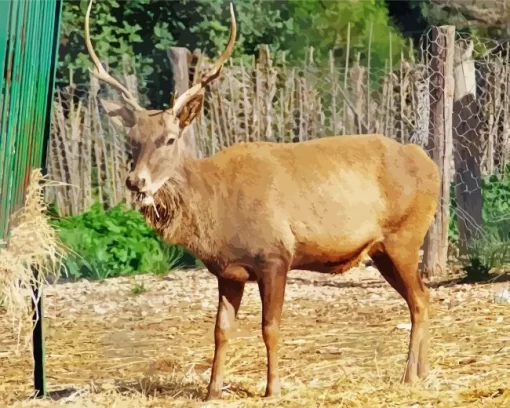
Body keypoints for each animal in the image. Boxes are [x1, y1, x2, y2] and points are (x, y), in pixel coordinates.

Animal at [84, 0, 442, 402]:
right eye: (132, 140)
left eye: (170, 139)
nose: (136, 181)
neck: (216, 212)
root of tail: (430, 165)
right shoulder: (227, 271)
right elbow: (220, 330)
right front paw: (212, 391)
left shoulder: (275, 255)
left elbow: (270, 327)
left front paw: (273, 388)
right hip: (382, 250)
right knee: (422, 298)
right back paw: (421, 373)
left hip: (405, 235)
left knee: (420, 299)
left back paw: (410, 377)